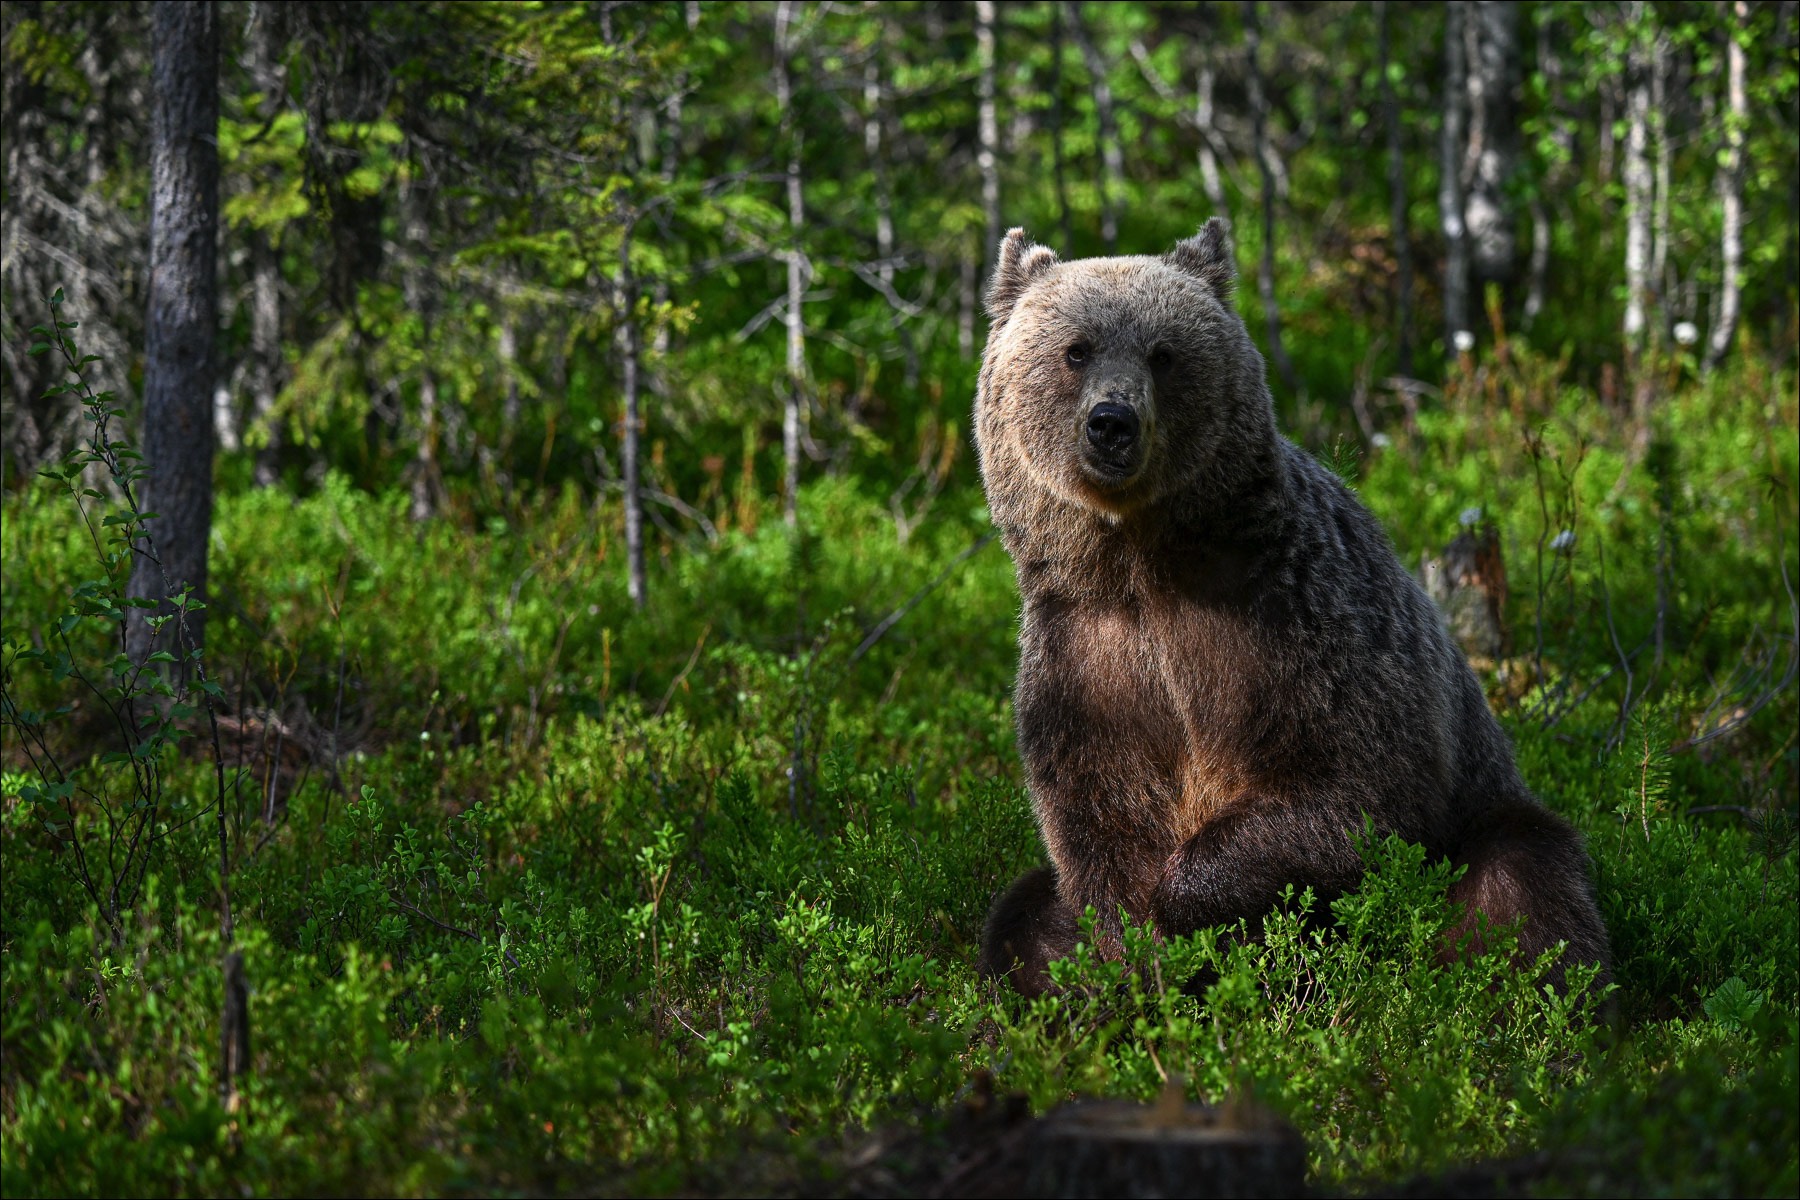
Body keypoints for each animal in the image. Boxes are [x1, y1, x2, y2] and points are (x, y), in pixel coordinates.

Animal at [979, 220, 1612, 1000]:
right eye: (1077, 349)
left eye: (1163, 353)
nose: (1112, 423)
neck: (1142, 566)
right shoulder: (1087, 659)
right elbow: (1097, 822)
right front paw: (1136, 953)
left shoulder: (1296, 619)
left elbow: (1358, 783)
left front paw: (1186, 898)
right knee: (1022, 916)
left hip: (1482, 817)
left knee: (1520, 889)